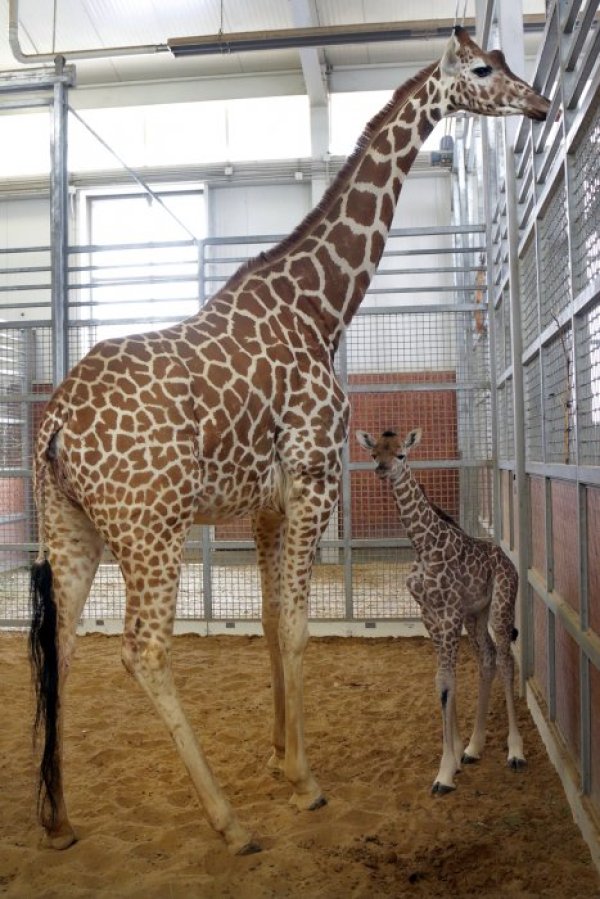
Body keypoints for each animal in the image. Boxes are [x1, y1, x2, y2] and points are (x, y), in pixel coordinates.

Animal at [356, 428, 524, 796]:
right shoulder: (430, 615)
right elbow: (443, 683)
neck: (423, 544)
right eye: (374, 453)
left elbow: (446, 682)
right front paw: (458, 753)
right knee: (487, 659)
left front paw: (445, 773)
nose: (382, 470)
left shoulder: (448, 614)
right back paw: (475, 747)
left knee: (506, 661)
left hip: (500, 608)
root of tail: (510, 563)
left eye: (401, 454)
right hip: (476, 615)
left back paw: (516, 751)